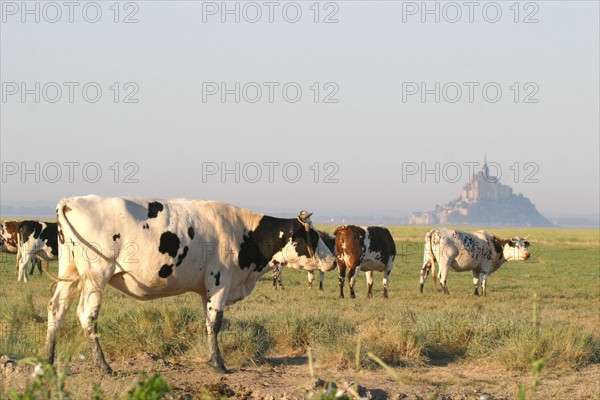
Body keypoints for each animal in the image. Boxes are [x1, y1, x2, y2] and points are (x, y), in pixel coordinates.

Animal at [45, 195, 338, 374]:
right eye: (313, 236)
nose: (334, 262)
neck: (244, 232)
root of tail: (71, 201)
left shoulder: (206, 289)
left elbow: (208, 322)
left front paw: (212, 359)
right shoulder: (220, 281)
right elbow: (216, 323)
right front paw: (219, 364)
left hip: (70, 271)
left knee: (56, 309)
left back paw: (48, 358)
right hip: (96, 275)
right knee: (87, 315)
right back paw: (103, 366)